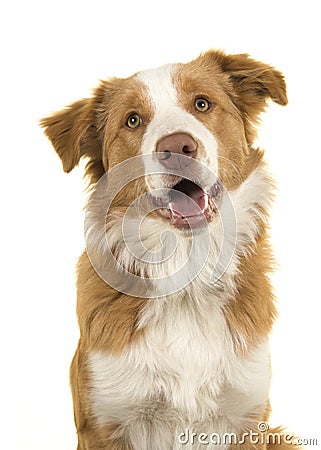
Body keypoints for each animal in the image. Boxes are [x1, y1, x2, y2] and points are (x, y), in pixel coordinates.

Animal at [41, 50, 288, 450]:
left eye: (202, 103)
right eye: (132, 120)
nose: (177, 146)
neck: (186, 273)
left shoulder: (247, 417)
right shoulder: (104, 421)